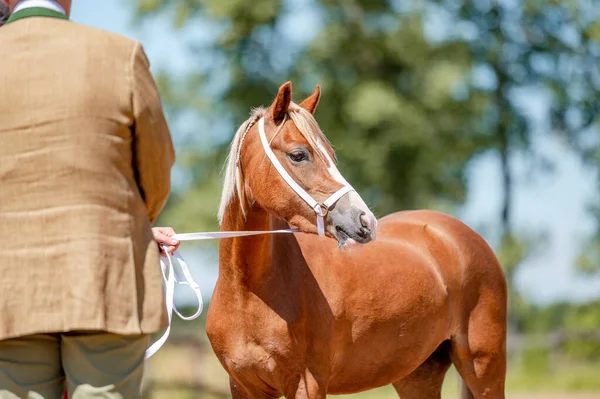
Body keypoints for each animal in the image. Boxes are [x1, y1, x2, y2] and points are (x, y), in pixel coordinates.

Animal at [206, 82, 506, 399]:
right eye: (298, 154)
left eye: (331, 154)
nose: (365, 221)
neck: (248, 293)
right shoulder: (242, 386)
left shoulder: (307, 385)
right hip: (418, 374)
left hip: (484, 368)